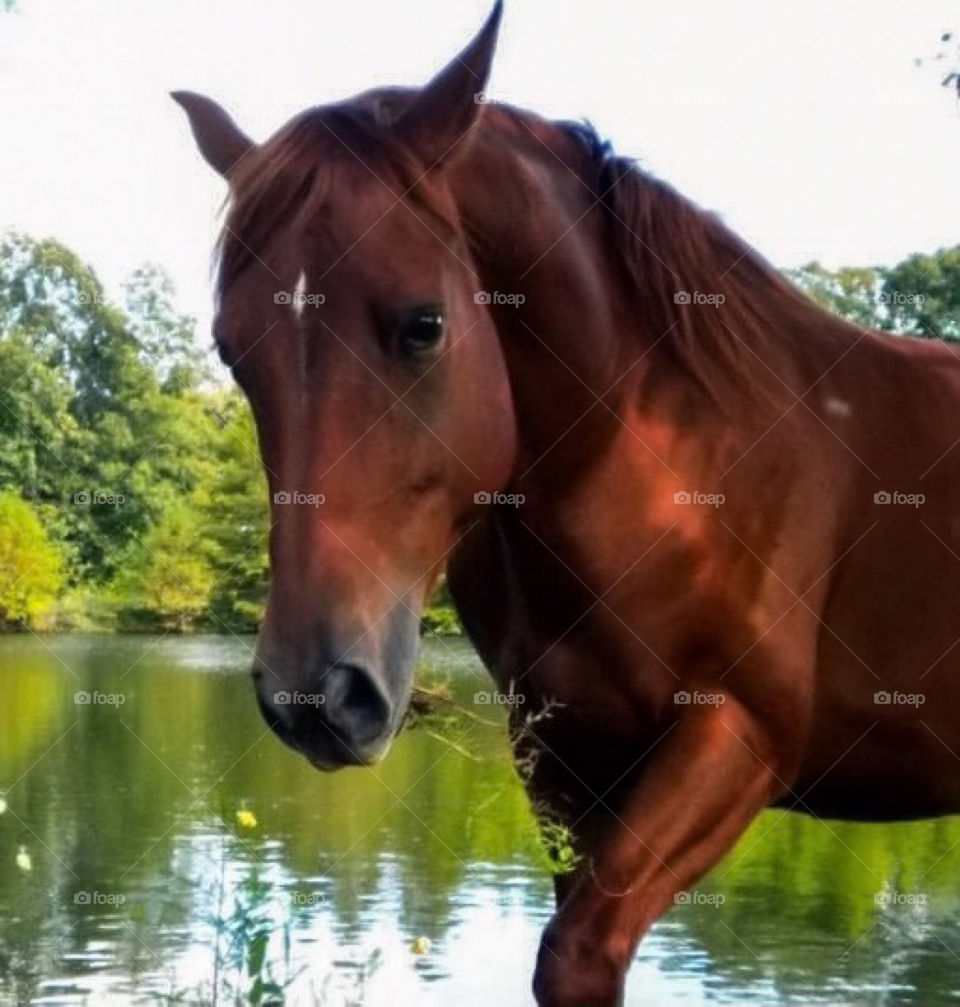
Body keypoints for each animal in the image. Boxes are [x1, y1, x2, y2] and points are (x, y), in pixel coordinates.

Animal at [173, 4, 960, 1004]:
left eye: (424, 324)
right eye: (232, 350)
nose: (314, 694)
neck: (675, 461)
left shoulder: (737, 736)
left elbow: (579, 950)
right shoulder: (560, 758)